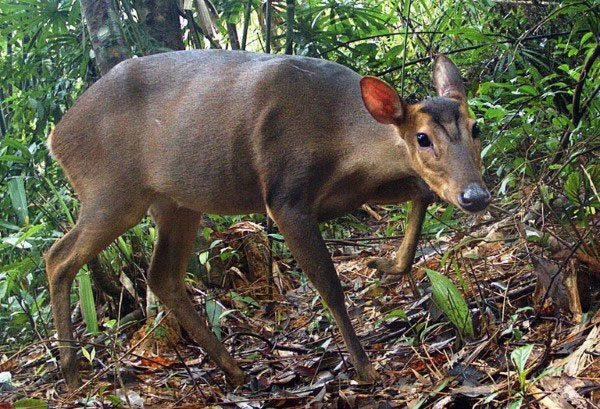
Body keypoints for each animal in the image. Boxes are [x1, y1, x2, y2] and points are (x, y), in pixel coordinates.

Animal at [45, 49, 488, 388]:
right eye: (422, 137)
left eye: (475, 126)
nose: (475, 195)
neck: (343, 139)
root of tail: (55, 137)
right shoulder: (284, 195)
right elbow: (329, 286)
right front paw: (366, 369)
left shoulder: (355, 192)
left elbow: (423, 192)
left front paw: (386, 263)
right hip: (111, 191)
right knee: (58, 257)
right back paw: (70, 371)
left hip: (176, 201)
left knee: (162, 276)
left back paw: (236, 370)